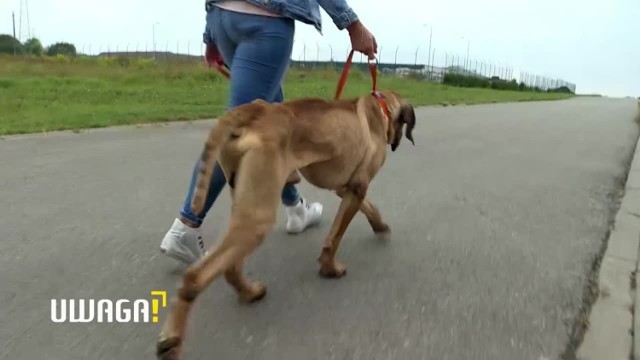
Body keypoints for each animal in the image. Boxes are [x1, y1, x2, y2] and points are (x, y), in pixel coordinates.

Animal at [155, 90, 416, 360]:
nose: (396, 141)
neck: (380, 106)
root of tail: (257, 110)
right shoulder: (357, 187)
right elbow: (335, 236)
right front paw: (330, 268)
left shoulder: (347, 187)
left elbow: (368, 207)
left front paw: (380, 225)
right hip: (258, 217)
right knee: (195, 277)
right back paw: (171, 341)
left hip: (245, 201)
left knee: (230, 264)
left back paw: (248, 292)